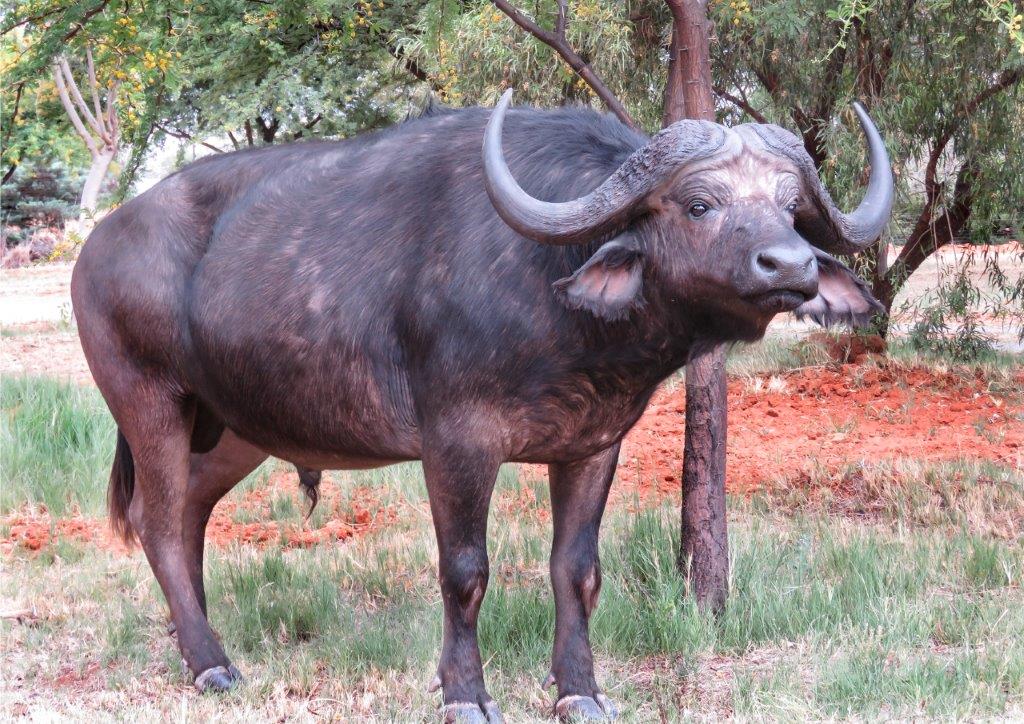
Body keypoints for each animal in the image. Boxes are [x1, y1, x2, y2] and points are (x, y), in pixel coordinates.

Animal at [72, 90, 892, 721]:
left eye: (790, 208)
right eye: (699, 203)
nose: (789, 266)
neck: (556, 295)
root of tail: (97, 244)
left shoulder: (594, 444)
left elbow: (577, 569)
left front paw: (579, 689)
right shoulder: (458, 442)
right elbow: (465, 571)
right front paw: (465, 693)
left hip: (233, 429)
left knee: (188, 514)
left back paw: (195, 643)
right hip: (148, 401)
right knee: (156, 522)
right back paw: (211, 662)